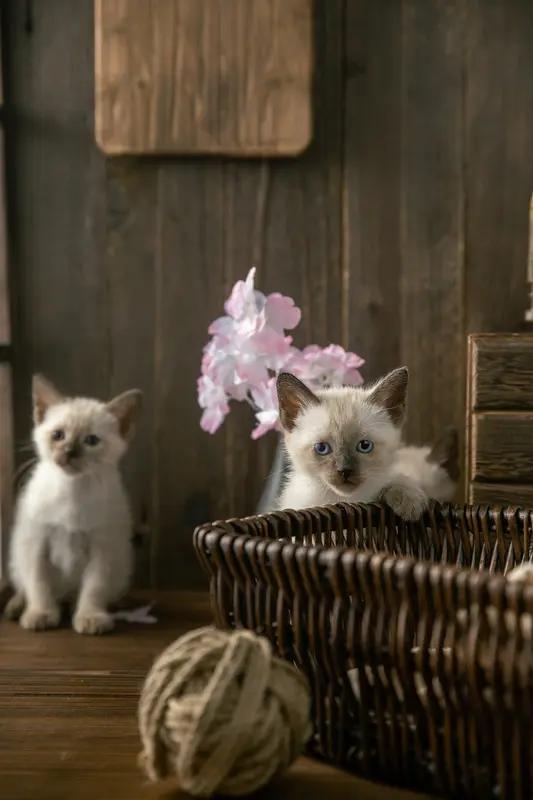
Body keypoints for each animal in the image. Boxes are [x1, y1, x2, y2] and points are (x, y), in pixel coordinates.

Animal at [4, 375, 141, 634]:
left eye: (91, 441)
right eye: (58, 435)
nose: (69, 451)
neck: (72, 488)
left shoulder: (102, 547)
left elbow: (94, 588)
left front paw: (91, 617)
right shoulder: (36, 543)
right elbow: (38, 584)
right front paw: (41, 614)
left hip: (121, 564)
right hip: (17, 556)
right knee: (23, 586)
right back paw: (15, 608)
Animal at [276, 367, 429, 520]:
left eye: (365, 446)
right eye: (321, 448)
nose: (345, 471)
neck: (346, 501)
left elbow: (398, 480)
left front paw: (409, 505)